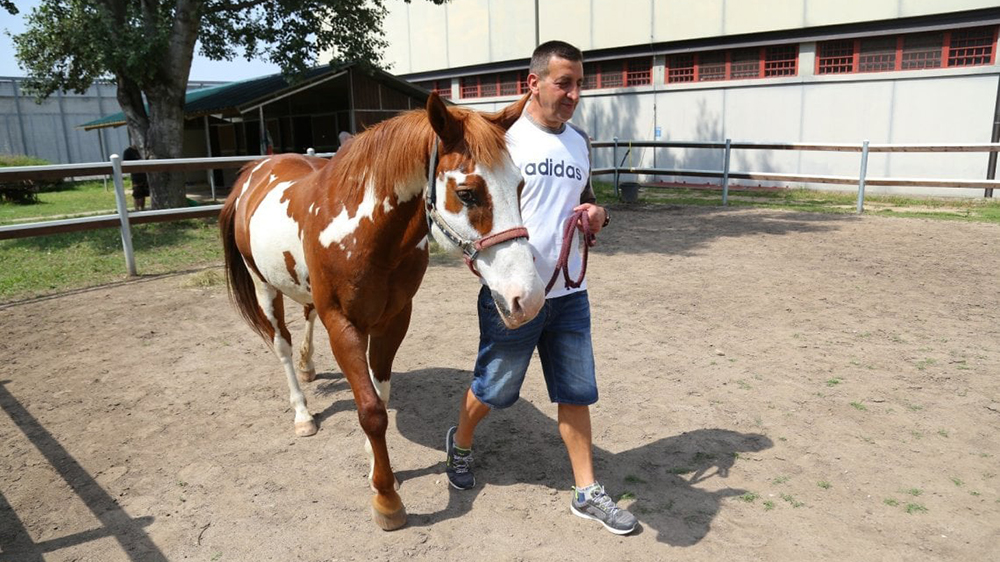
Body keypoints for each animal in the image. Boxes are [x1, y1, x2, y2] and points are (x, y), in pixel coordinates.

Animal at [219, 92, 545, 530]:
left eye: (520, 185)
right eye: (468, 193)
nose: (528, 298)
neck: (364, 232)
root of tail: (253, 173)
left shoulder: (395, 318)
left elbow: (379, 391)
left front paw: (376, 466)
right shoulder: (342, 324)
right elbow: (372, 410)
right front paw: (387, 497)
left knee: (305, 319)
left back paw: (308, 366)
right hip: (264, 286)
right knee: (281, 344)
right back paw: (302, 412)